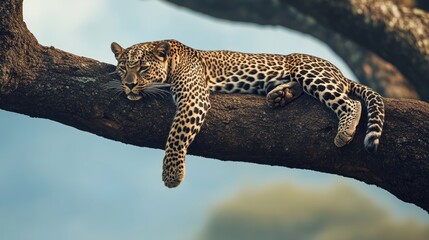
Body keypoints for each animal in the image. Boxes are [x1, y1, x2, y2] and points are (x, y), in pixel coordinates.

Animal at [109, 39, 384, 188]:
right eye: (122, 69)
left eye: (143, 69)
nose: (129, 85)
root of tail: (339, 71)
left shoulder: (193, 97)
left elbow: (176, 135)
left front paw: (172, 174)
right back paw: (280, 95)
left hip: (309, 71)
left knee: (351, 102)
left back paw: (345, 130)